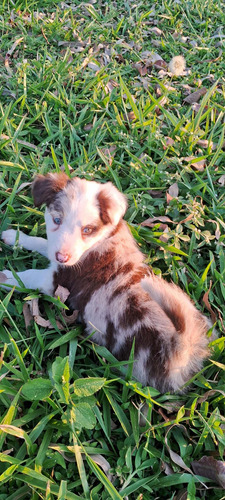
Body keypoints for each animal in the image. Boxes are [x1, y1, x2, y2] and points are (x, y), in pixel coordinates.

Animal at [0, 174, 214, 392]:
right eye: (57, 220)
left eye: (87, 230)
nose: (62, 257)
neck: (101, 239)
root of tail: (181, 348)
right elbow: (43, 243)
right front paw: (15, 237)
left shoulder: (58, 280)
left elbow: (30, 275)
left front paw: (6, 277)